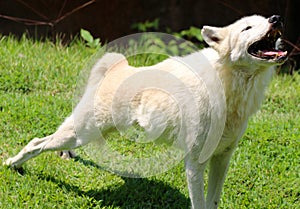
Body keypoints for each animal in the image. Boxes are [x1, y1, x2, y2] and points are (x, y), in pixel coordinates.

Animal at [3, 14, 288, 207]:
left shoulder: (222, 159)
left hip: (88, 135)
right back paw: (12, 165)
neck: (232, 87)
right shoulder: (195, 163)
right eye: (247, 27)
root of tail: (117, 67)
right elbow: (199, 203)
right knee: (35, 143)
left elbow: (213, 201)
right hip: (80, 133)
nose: (276, 18)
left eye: (265, 20)